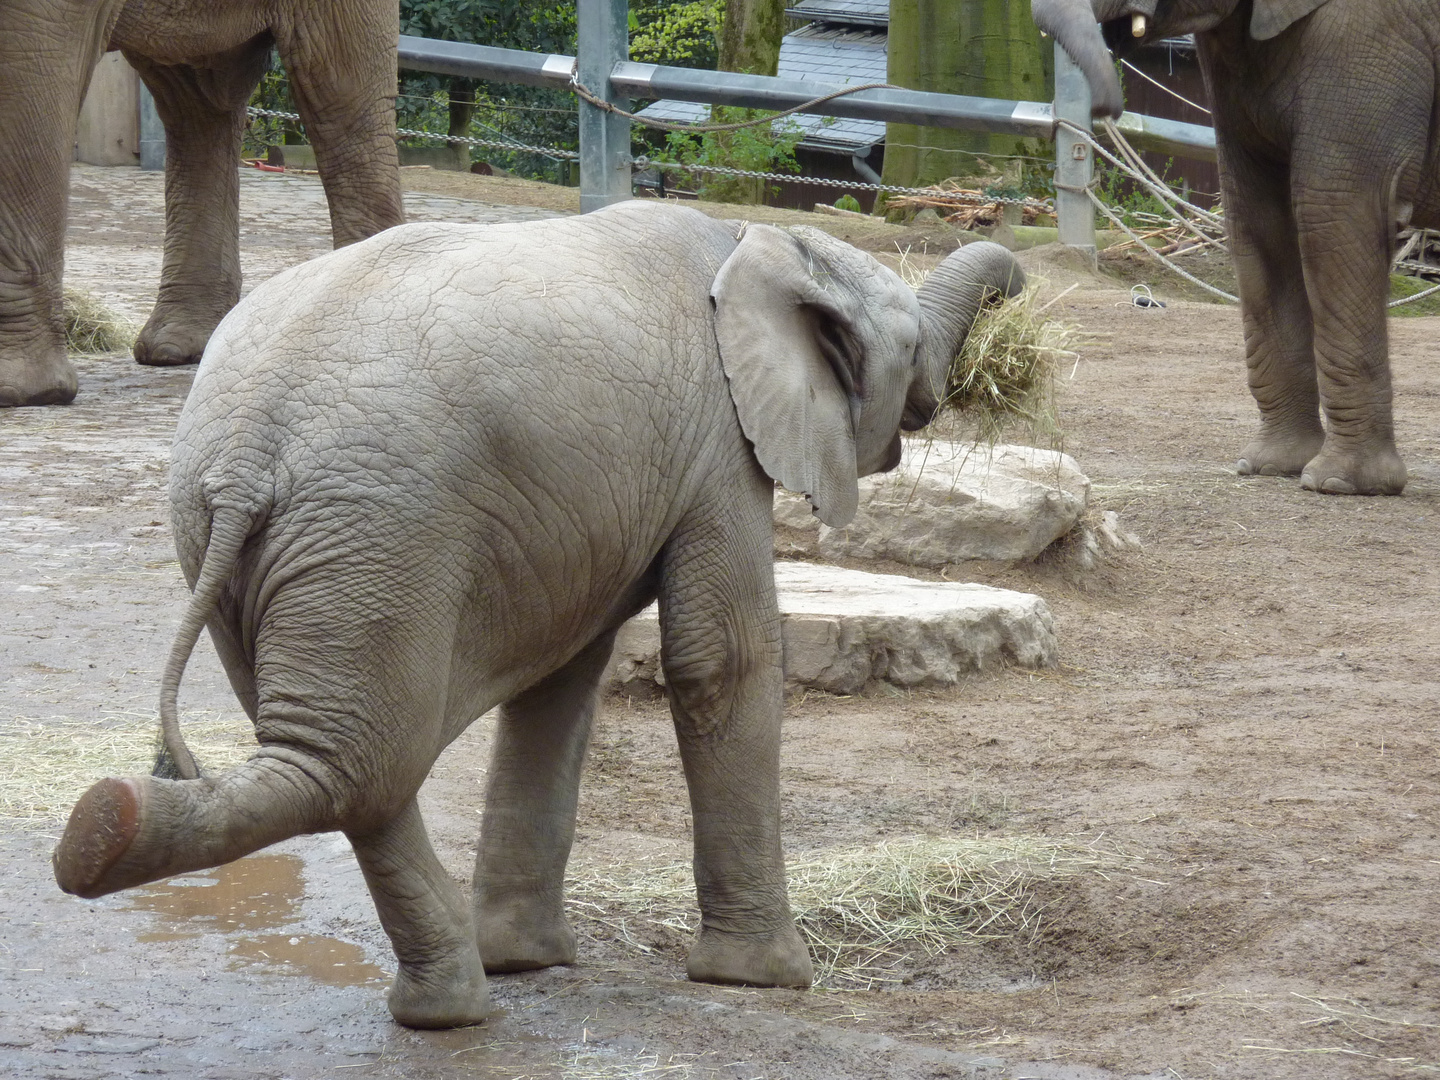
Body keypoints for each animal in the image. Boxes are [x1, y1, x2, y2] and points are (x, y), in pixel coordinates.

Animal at [53, 201, 1025, 1031]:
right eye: (910, 342)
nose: (1014, 293)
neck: (759, 239)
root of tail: (248, 450)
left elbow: (561, 682)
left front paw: (532, 960)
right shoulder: (721, 446)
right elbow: (721, 660)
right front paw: (768, 979)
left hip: (250, 540)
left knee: (350, 766)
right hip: (383, 530)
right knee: (352, 766)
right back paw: (113, 834)